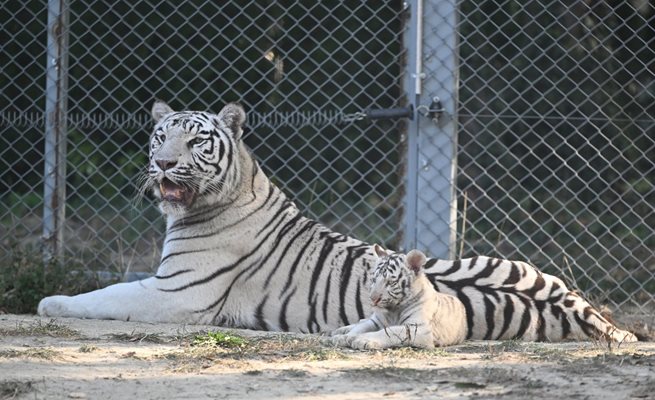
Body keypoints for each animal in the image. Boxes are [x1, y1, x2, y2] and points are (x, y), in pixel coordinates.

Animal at [38, 101, 640, 342]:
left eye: (195, 141)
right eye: (160, 136)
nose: (162, 164)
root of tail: (585, 316)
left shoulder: (176, 294)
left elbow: (103, 296)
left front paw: (48, 302)